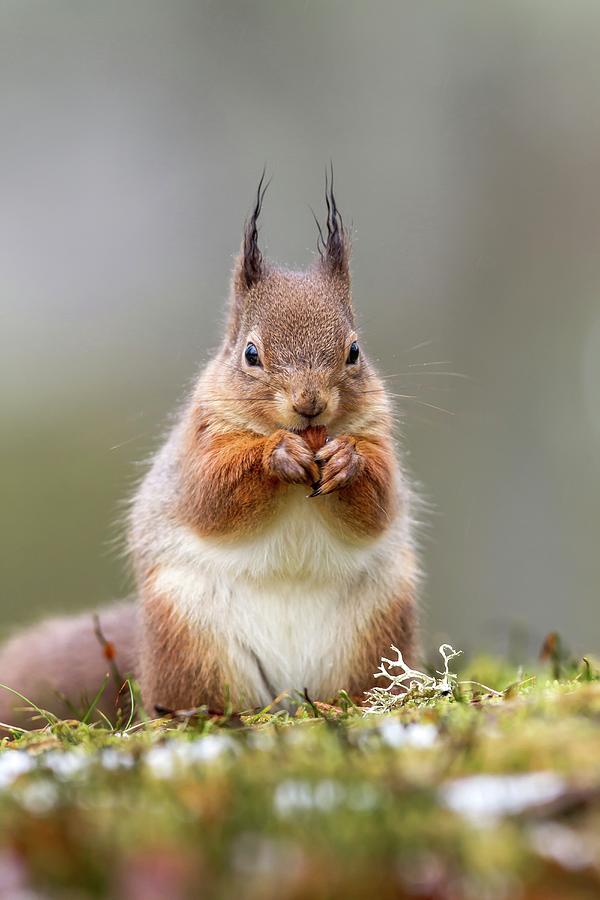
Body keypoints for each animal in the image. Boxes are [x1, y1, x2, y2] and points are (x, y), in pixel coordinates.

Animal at [0, 176, 420, 724]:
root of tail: (289, 696)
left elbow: (379, 503)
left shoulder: (378, 432)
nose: (309, 404)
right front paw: (275, 456)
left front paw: (347, 462)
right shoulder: (199, 446)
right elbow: (212, 496)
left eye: (354, 351)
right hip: (189, 638)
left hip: (378, 631)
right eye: (250, 353)